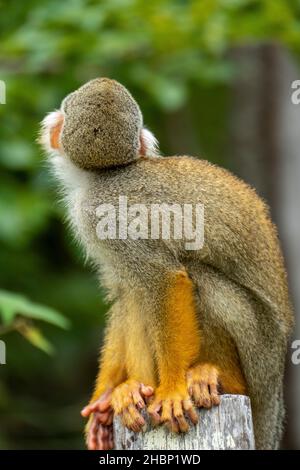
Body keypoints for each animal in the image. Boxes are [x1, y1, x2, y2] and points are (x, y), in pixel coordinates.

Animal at [39, 79, 292, 450]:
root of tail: (274, 396)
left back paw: (216, 378)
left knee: (197, 278)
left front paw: (172, 389)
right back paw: (133, 391)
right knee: (138, 292)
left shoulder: (100, 214)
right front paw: (105, 398)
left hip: (259, 353)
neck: (104, 176)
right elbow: (124, 290)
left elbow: (164, 279)